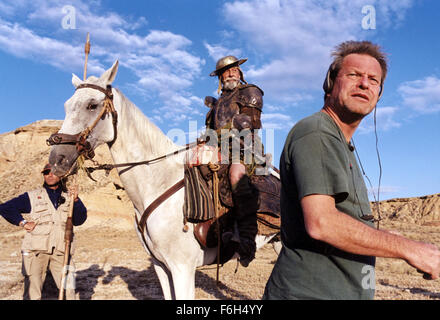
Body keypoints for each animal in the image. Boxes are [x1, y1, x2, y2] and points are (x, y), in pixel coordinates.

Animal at [48, 60, 278, 300]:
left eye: (92, 105)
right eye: (67, 106)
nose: (57, 159)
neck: (158, 181)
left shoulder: (182, 268)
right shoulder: (161, 266)